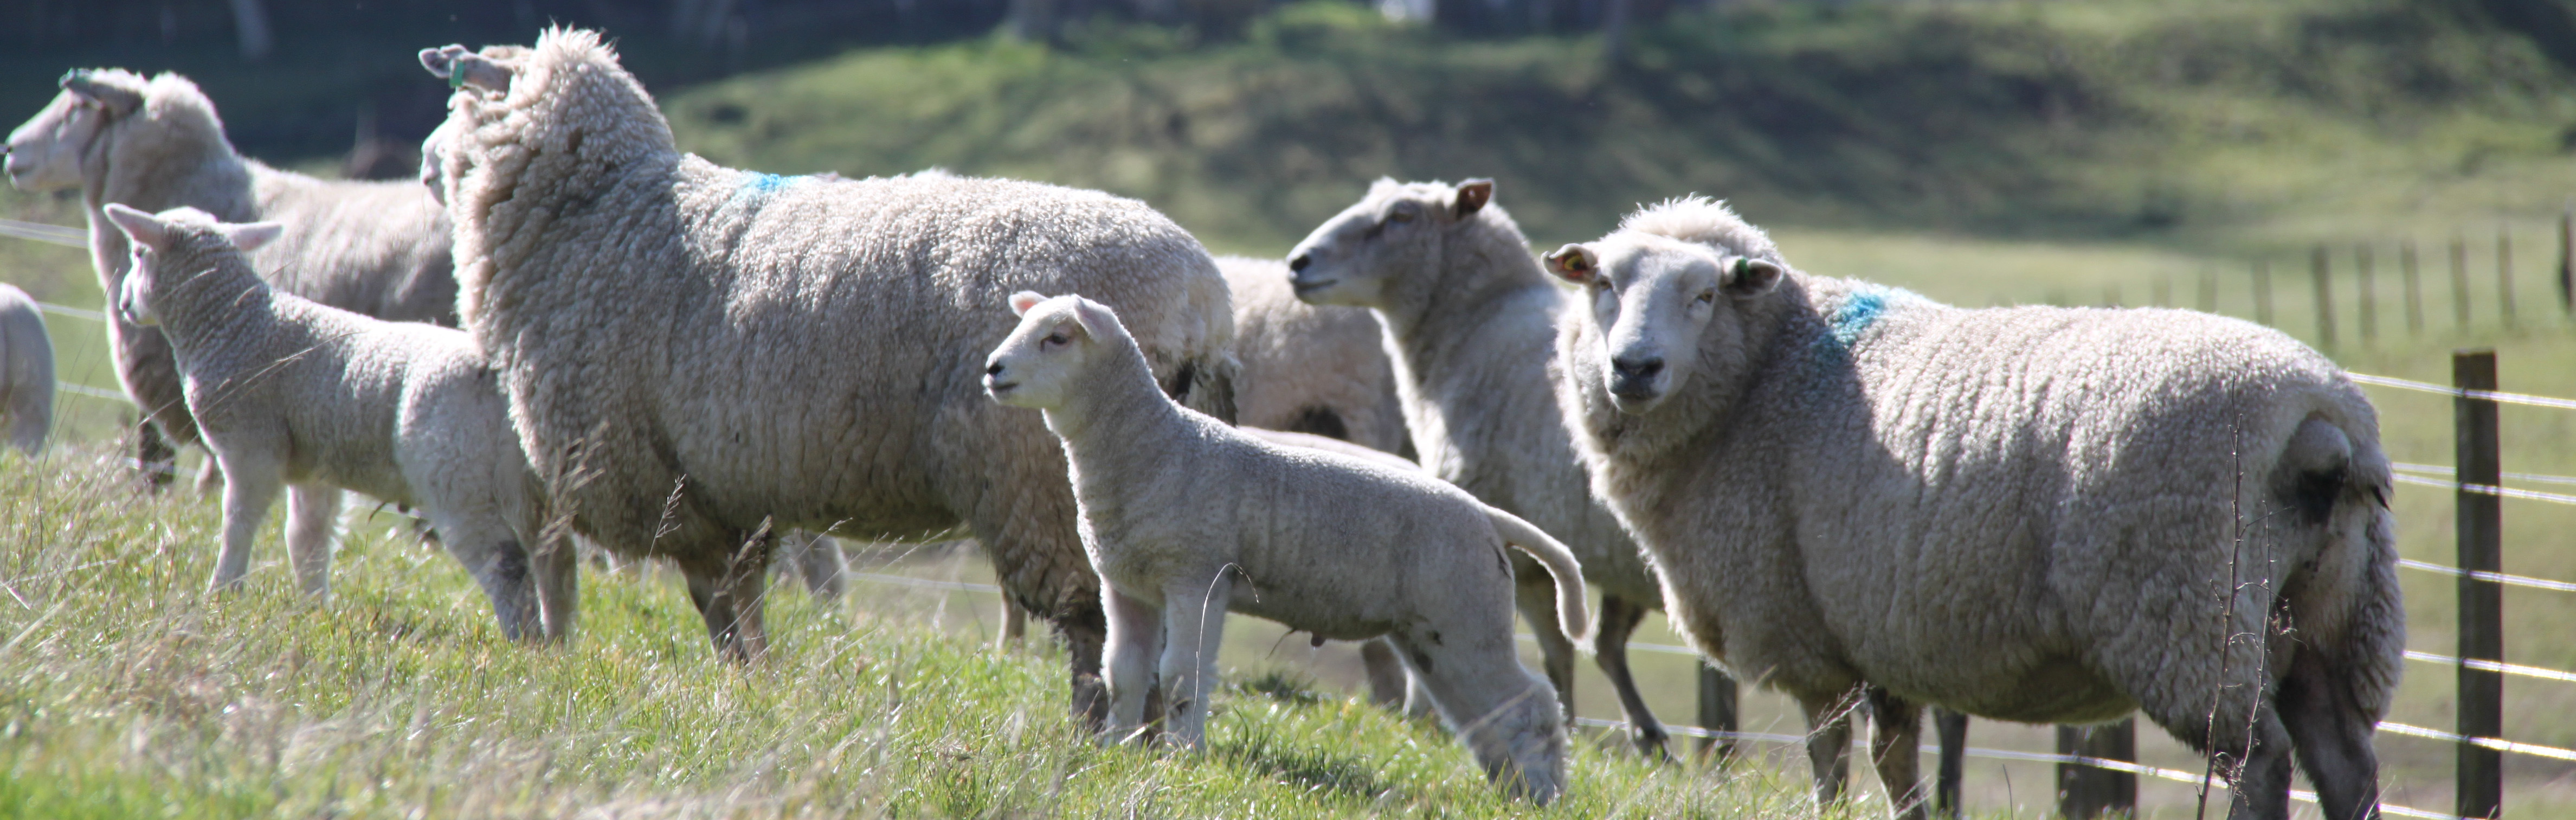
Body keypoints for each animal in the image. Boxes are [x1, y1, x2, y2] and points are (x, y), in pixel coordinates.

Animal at [101, 204, 569, 641]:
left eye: (138, 253)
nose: (124, 305)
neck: (231, 323)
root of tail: (503, 376)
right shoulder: (314, 467)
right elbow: (307, 539)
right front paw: (313, 608)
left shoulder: (251, 446)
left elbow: (238, 522)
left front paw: (223, 594)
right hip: (532, 483)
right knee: (555, 558)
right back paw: (556, 645)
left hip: (456, 474)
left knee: (506, 561)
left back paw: (523, 642)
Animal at [415, 29, 1237, 711]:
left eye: (459, 95)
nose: (423, 165)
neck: (595, 215)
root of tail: (1203, 297)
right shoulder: (728, 483)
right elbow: (742, 597)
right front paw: (756, 682)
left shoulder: (665, 480)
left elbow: (714, 603)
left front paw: (736, 680)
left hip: (1049, 485)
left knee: (1099, 624)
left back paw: (1094, 731)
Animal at [984, 291, 1588, 804]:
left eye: (1058, 337)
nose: (993, 369)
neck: (1153, 446)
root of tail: (1487, 518)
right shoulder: (1127, 584)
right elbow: (1124, 673)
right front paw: (1115, 751)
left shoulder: (1196, 577)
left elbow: (1181, 676)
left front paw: (1182, 758)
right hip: (1436, 633)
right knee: (1485, 713)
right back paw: (1510, 787)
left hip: (1470, 615)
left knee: (1533, 701)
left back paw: (1545, 794)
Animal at [1284, 178, 1698, 756]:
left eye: (1402, 216)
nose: (1298, 263)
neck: (1476, 328)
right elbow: (1561, 650)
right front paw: (1569, 727)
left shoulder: (1516, 539)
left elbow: (1552, 649)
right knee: (1609, 644)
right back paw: (1650, 738)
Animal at [1544, 196, 2402, 820]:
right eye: (1603, 285)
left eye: (1705, 294)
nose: (1633, 367)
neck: (1766, 376)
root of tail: (2322, 417)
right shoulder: (1876, 632)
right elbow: (1895, 762)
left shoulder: (1807, 637)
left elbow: (1830, 761)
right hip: (2332, 614)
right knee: (2345, 765)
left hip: (2188, 611)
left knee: (2259, 763)